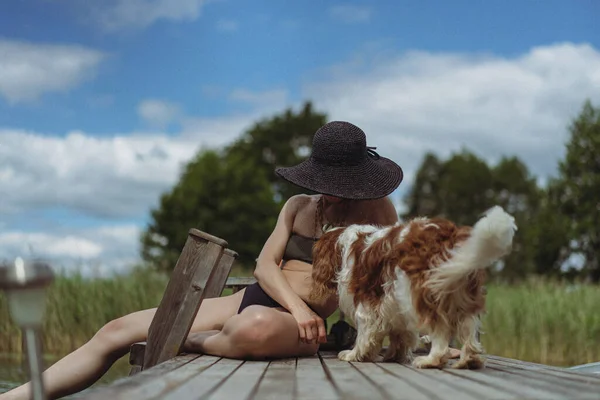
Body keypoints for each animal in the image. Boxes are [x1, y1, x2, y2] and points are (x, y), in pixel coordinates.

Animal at [310, 206, 516, 368]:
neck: (343, 244)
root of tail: (450, 235)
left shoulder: (367, 302)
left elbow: (365, 333)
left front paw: (355, 354)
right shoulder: (393, 303)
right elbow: (400, 335)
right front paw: (395, 355)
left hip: (424, 293)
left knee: (440, 330)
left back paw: (431, 360)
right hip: (461, 294)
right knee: (468, 329)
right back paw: (469, 359)